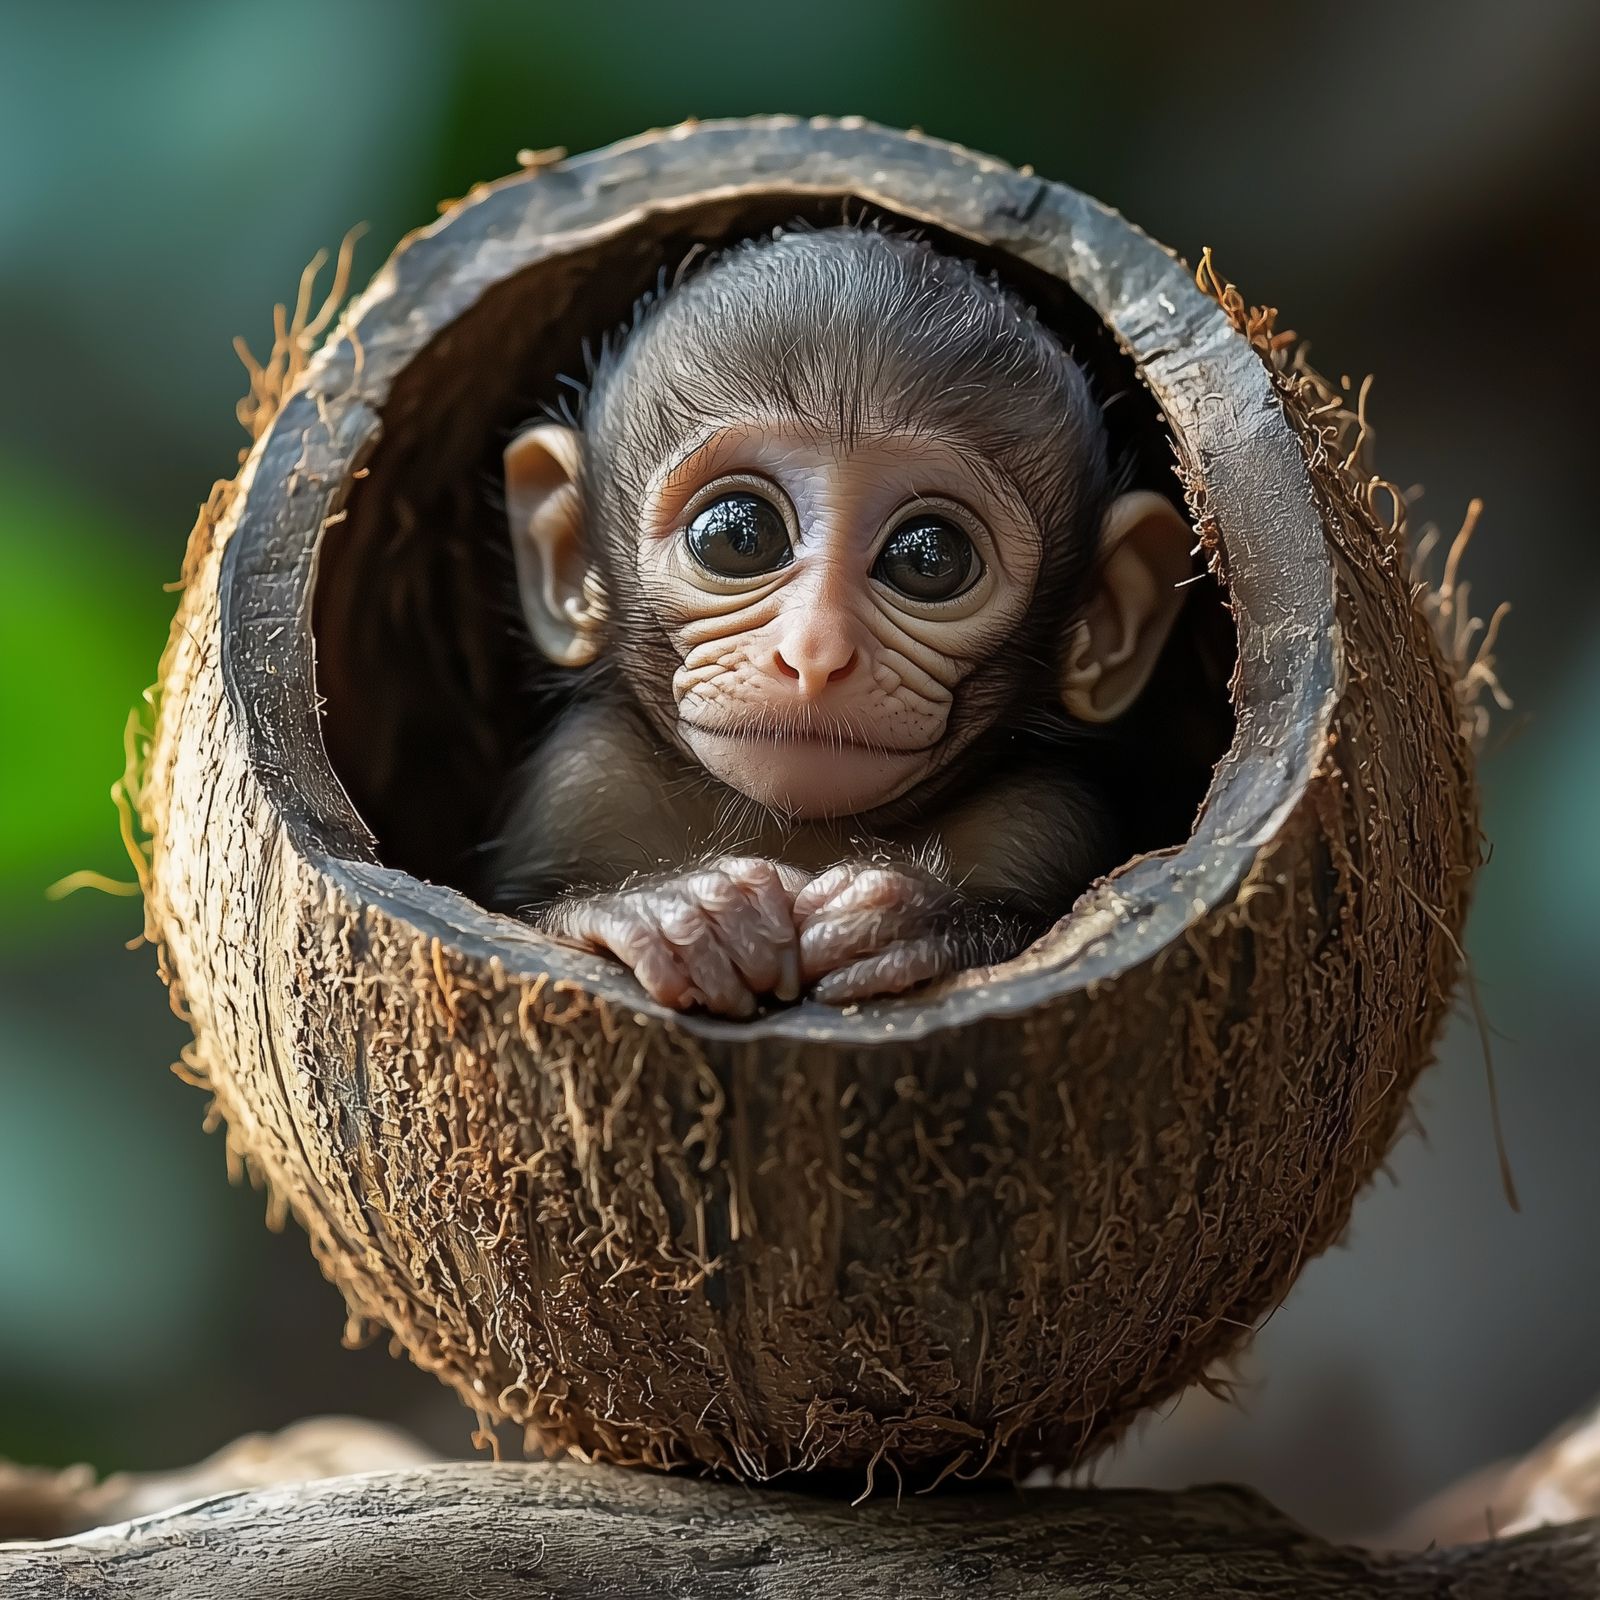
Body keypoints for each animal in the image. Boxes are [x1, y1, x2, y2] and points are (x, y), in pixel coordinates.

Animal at [485, 224, 1194, 1017]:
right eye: (739, 536)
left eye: (929, 557)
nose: (816, 652)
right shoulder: (582, 778)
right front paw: (673, 909)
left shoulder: (1047, 818)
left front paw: (909, 921)